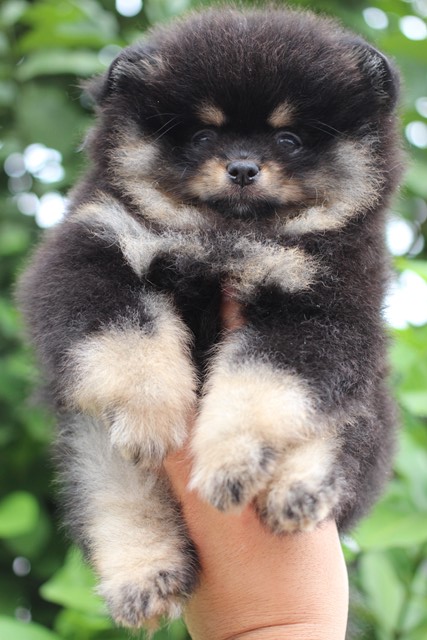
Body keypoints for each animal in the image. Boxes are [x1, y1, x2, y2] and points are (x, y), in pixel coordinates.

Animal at [17, 7, 402, 629]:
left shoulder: (328, 306)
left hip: (369, 402)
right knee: (115, 494)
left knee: (345, 434)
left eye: (289, 138)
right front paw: (151, 413)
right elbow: (130, 335)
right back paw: (144, 576)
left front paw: (231, 458)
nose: (242, 167)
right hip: (90, 441)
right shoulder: (92, 250)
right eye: (201, 135)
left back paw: (298, 488)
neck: (225, 240)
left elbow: (263, 378)